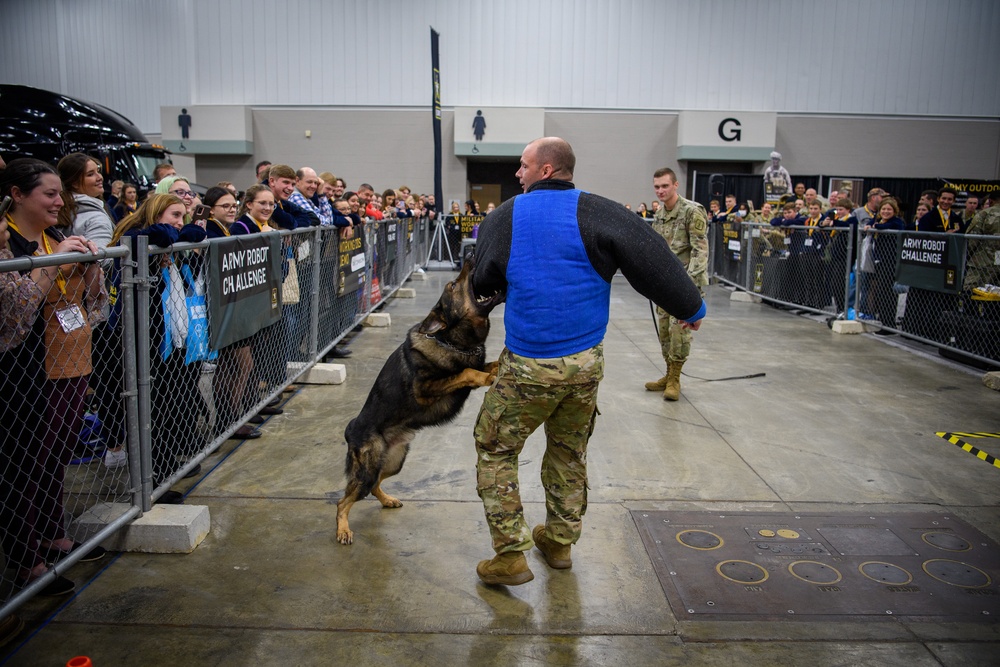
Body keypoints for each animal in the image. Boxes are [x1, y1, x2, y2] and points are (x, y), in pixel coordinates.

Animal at [340, 258, 504, 544]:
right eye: (452, 285)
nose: (470, 258)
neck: (448, 339)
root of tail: (351, 429)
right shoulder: (424, 389)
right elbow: (466, 372)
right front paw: (484, 377)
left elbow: (487, 364)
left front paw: (497, 367)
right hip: (369, 469)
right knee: (344, 501)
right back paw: (343, 529)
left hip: (394, 462)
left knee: (375, 486)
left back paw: (387, 500)